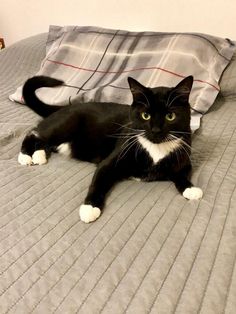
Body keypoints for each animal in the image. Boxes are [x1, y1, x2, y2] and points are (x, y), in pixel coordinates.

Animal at [18, 75, 203, 223]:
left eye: (170, 116)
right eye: (146, 115)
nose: (156, 130)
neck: (156, 148)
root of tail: (64, 107)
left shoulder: (184, 157)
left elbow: (182, 173)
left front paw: (190, 189)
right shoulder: (111, 160)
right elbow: (98, 181)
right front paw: (89, 208)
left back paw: (39, 155)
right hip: (65, 124)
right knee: (35, 132)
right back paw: (26, 156)